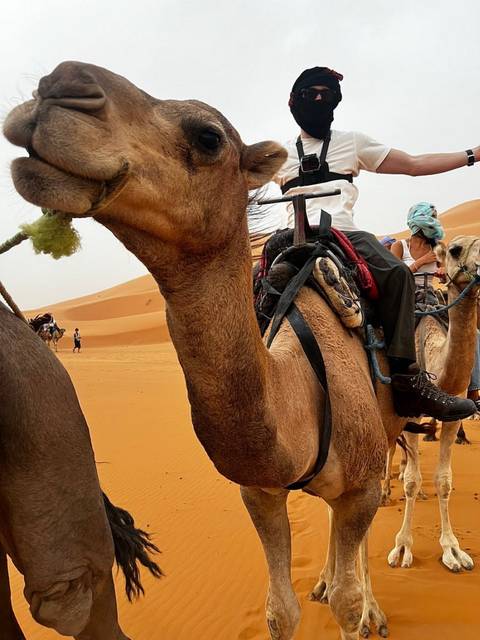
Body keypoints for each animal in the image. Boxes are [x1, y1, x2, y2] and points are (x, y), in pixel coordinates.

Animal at [386, 236, 480, 572]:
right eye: (455, 250)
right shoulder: (408, 411)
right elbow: (413, 482)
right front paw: (402, 547)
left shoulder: (455, 413)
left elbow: (444, 480)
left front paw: (452, 549)